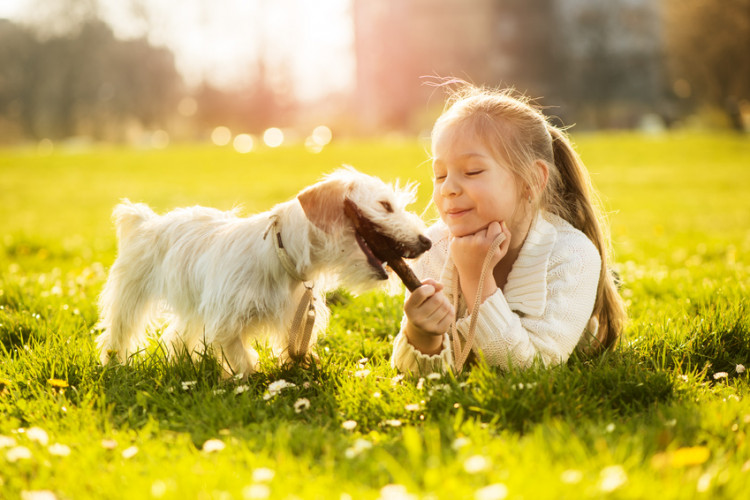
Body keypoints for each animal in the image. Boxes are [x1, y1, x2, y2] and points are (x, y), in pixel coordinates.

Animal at [97, 168, 432, 376]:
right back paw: (114, 364)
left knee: (177, 336)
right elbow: (241, 357)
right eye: (385, 205)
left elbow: (294, 350)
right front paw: (248, 379)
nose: (427, 242)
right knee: (117, 332)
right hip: (130, 297)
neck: (280, 254)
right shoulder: (226, 321)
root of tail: (147, 221)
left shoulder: (294, 319)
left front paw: (303, 370)